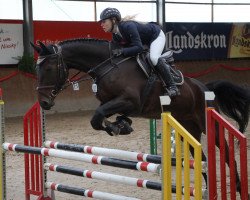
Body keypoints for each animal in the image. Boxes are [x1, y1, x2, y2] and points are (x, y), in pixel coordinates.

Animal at [31, 38, 250, 197]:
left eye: (48, 69)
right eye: (37, 69)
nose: (44, 103)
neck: (106, 67)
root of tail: (204, 87)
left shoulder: (131, 102)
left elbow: (98, 116)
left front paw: (117, 126)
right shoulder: (115, 103)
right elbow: (98, 118)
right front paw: (121, 125)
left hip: (208, 123)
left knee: (227, 154)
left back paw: (239, 187)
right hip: (188, 128)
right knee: (201, 159)